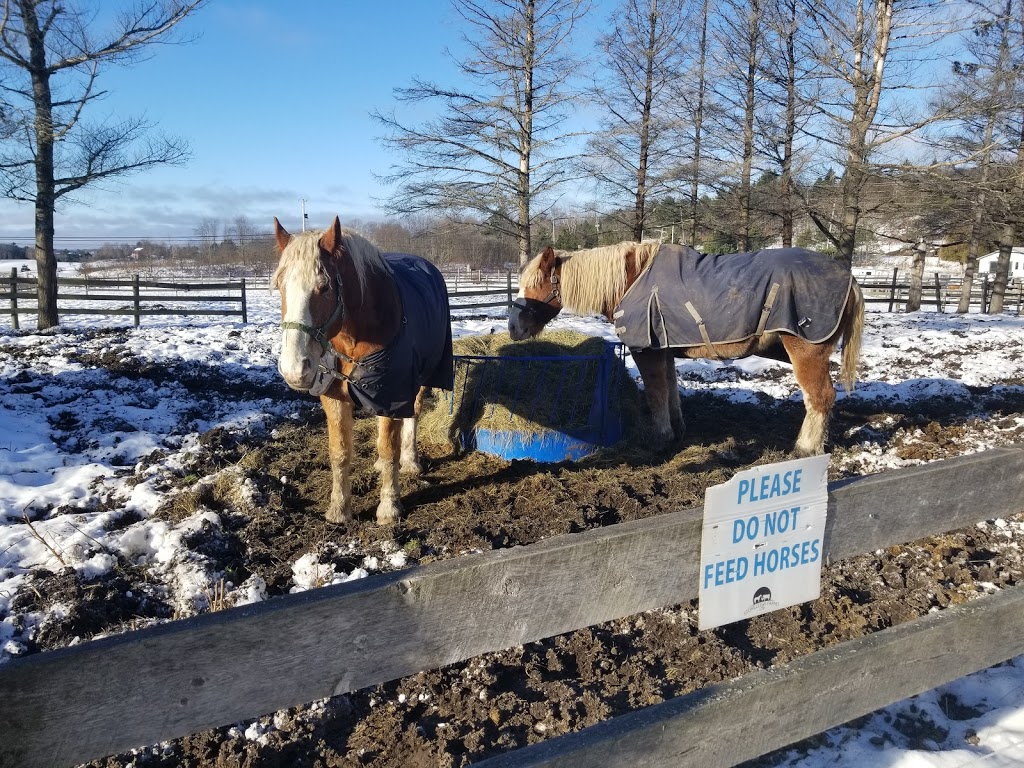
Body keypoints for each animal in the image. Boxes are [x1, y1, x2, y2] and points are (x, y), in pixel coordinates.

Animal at [272, 219, 452, 528]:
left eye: (324, 287)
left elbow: (389, 448)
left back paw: (410, 460)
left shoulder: (392, 395)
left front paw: (389, 507)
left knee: (412, 416)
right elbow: (340, 452)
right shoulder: (335, 398)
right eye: (280, 285)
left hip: (419, 382)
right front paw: (339, 509)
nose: (294, 369)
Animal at [507, 240, 860, 456]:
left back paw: (805, 448)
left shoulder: (647, 351)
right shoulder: (664, 350)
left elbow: (655, 393)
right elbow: (671, 391)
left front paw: (660, 439)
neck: (632, 280)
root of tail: (850, 278)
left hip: (807, 352)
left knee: (820, 398)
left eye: (536, 283)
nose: (513, 327)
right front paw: (677, 430)